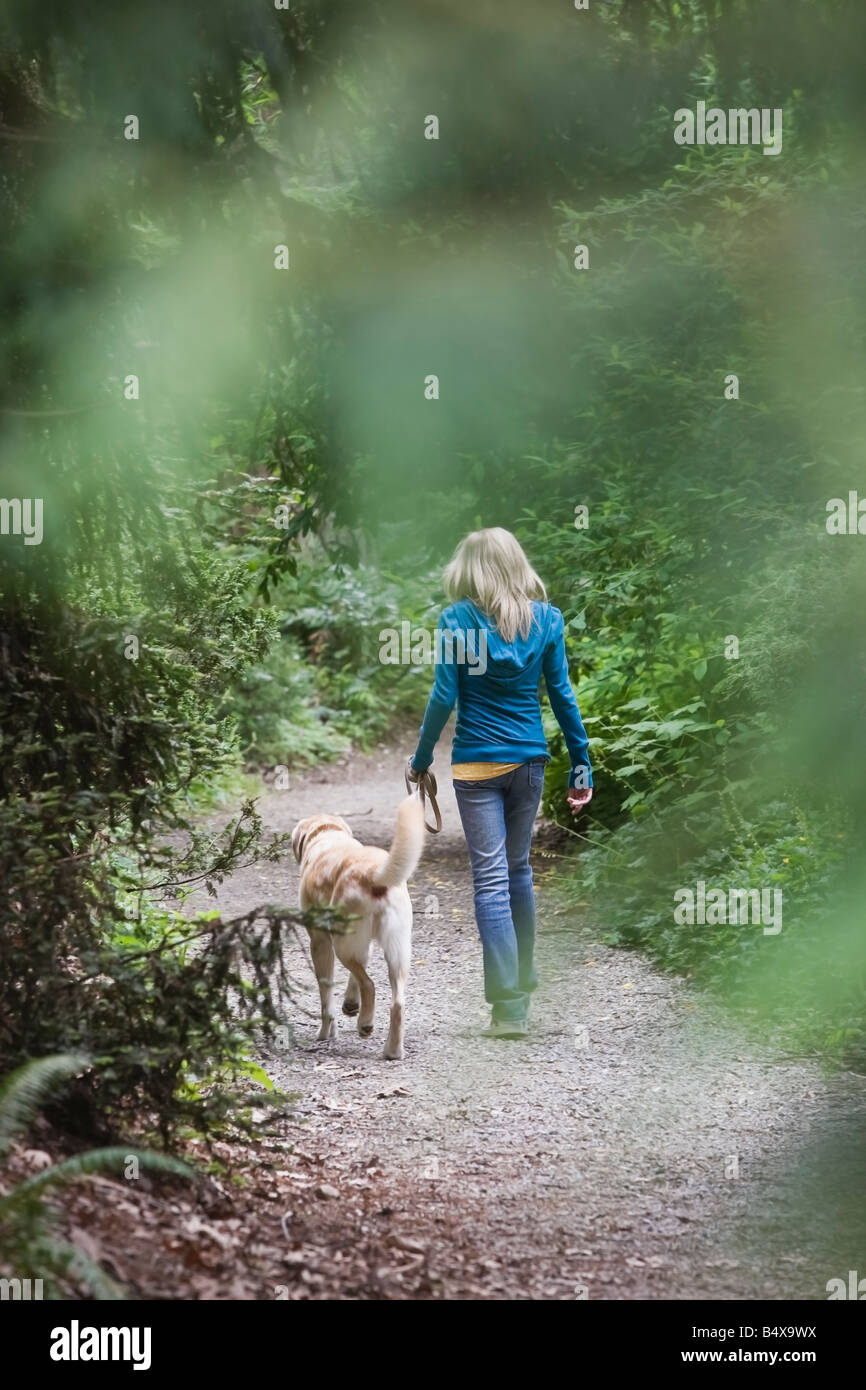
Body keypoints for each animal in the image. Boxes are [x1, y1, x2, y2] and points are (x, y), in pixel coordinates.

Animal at [293, 800, 425, 1056]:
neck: (328, 836)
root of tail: (374, 874)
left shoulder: (320, 943)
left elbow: (326, 997)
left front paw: (326, 1033)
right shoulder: (364, 946)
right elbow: (354, 977)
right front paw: (351, 1004)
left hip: (341, 945)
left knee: (370, 985)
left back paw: (365, 1024)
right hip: (397, 952)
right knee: (397, 1003)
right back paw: (392, 1051)